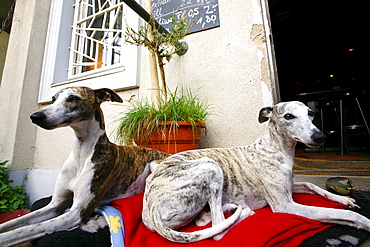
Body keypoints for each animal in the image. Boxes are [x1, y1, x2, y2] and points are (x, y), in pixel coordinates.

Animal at [0, 86, 169, 246]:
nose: (35, 116)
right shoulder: (55, 205)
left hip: (155, 165)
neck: (81, 154)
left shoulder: (76, 213)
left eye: (74, 98)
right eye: (53, 98)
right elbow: (17, 221)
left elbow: (26, 229)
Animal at [142, 101, 370, 243]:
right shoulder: (284, 205)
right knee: (217, 230)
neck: (276, 148)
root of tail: (151, 208)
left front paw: (344, 199)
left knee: (205, 221)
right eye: (289, 116)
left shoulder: (290, 186)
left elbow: (311, 184)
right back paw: (243, 211)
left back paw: (232, 208)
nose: (321, 137)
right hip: (210, 166)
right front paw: (362, 221)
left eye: (311, 113)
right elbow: (340, 214)